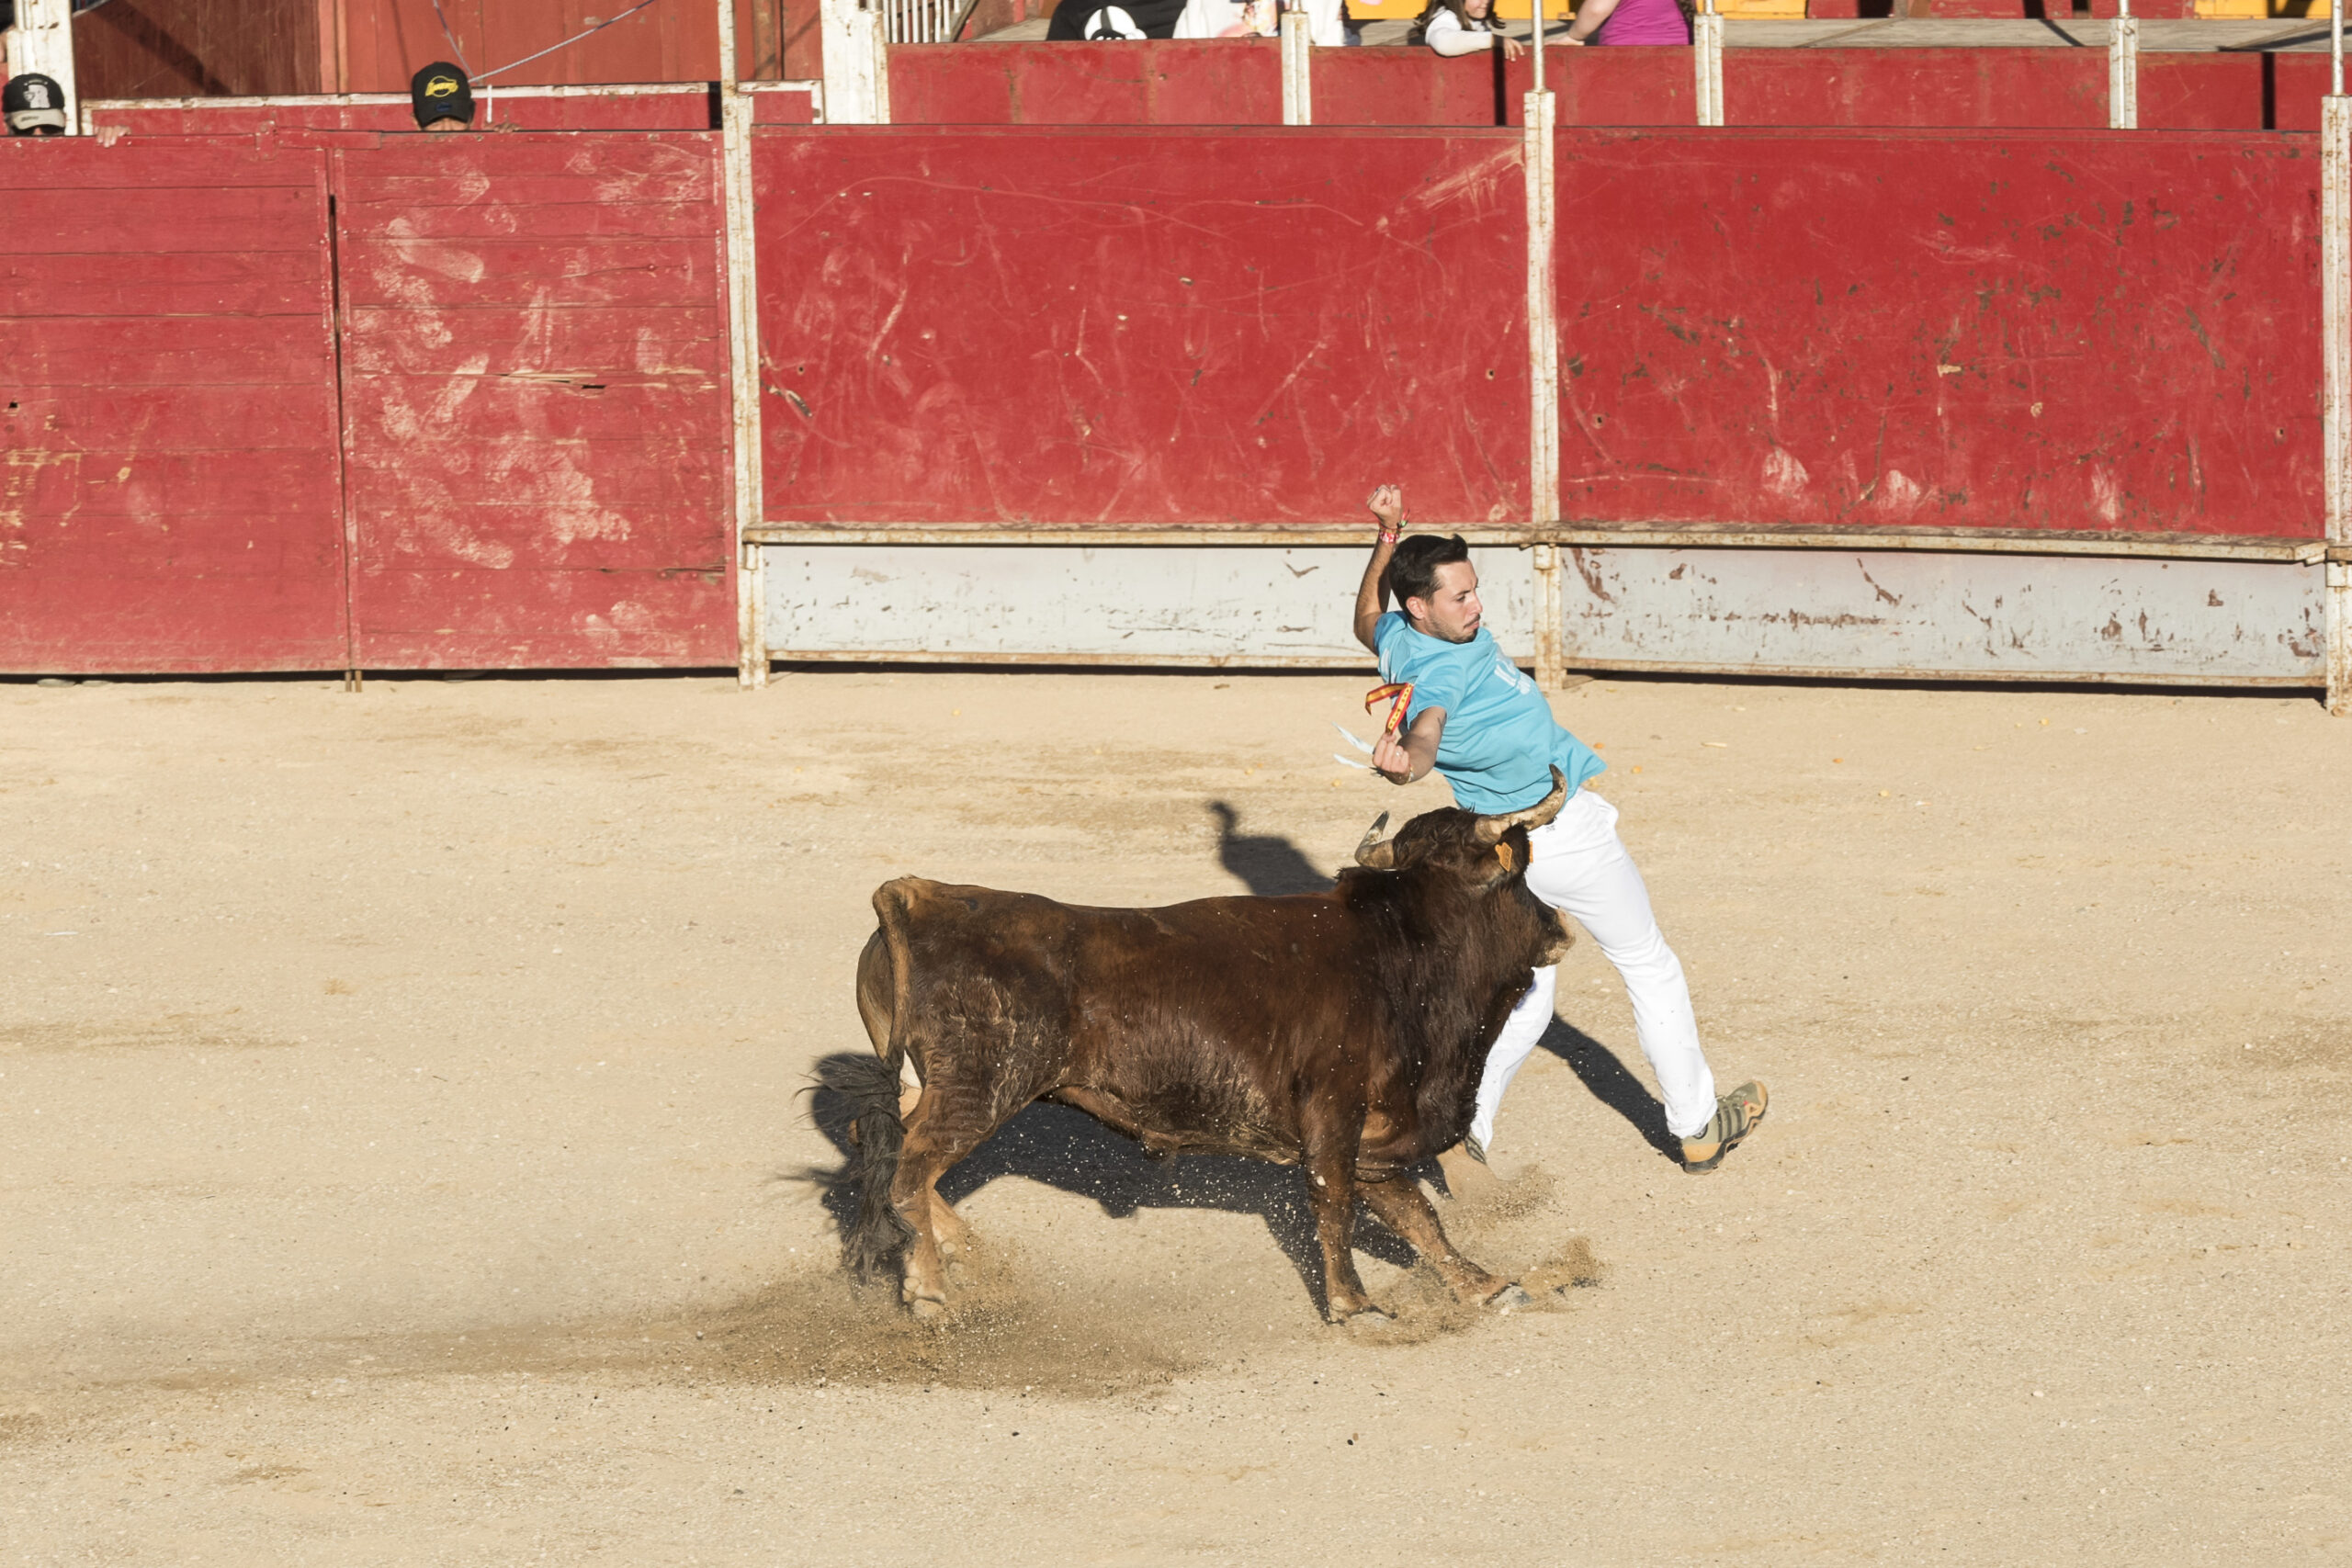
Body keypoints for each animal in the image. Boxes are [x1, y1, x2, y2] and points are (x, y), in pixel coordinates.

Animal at [837, 766, 1571, 1316]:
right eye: (1520, 873)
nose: (1559, 925)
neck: (1399, 944)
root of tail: (916, 897)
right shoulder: (1334, 1114)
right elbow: (1334, 1201)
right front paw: (1354, 1305)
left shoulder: (1379, 1133)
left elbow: (1416, 1215)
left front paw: (1486, 1285)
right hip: (978, 1091)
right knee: (910, 1168)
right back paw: (931, 1291)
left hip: (938, 1087)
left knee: (878, 1142)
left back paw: (967, 1251)